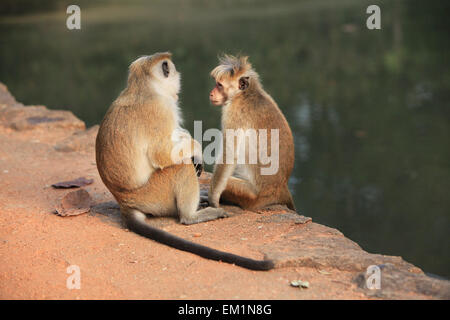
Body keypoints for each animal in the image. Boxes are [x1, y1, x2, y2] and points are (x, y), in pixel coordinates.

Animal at [95, 52, 272, 270]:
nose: (177, 74)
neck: (142, 88)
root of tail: (125, 201)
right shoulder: (160, 109)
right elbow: (162, 154)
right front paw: (195, 149)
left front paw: (192, 148)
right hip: (153, 195)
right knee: (181, 168)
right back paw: (191, 217)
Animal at [207, 54, 296, 211]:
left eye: (219, 85)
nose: (211, 94)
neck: (244, 94)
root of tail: (281, 188)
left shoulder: (234, 112)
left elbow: (229, 154)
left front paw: (213, 199)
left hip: (252, 197)